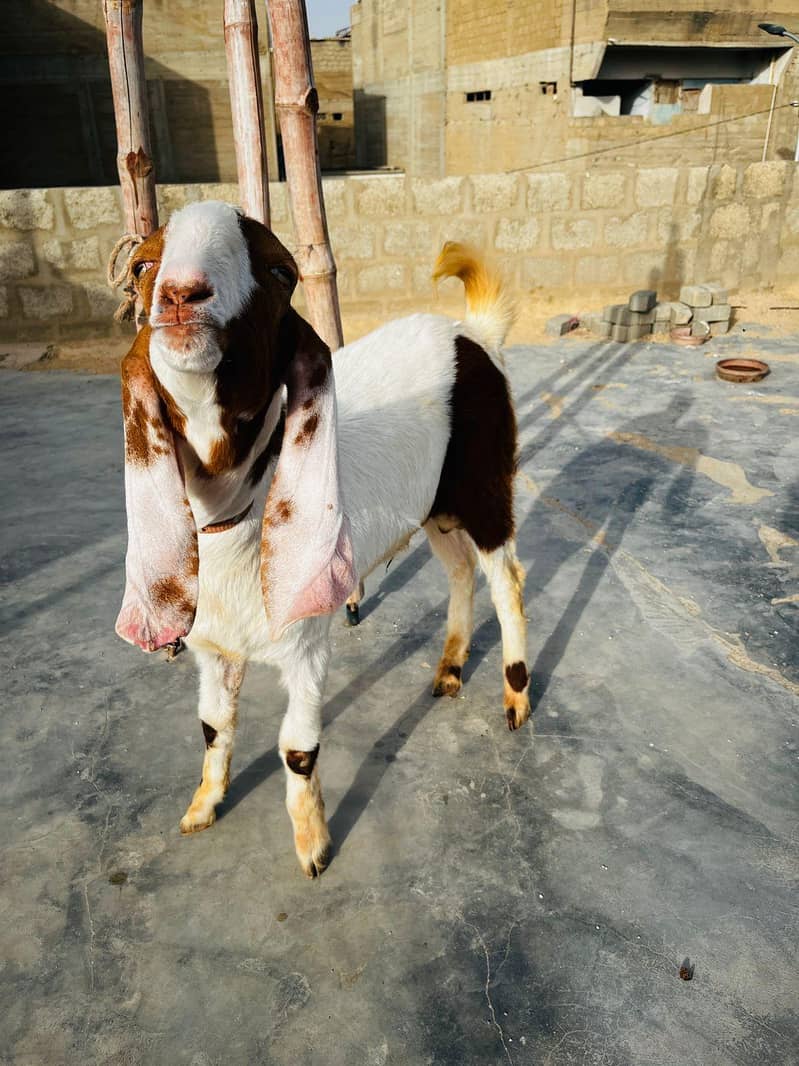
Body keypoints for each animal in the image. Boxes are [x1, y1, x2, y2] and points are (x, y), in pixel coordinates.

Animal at [115, 201, 530, 877]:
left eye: (281, 271)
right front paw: (202, 808)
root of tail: (474, 333)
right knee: (459, 570)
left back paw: (516, 700)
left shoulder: (306, 643)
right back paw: (448, 670)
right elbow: (212, 725)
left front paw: (314, 848)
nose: (181, 296)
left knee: (506, 578)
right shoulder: (213, 646)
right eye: (141, 266)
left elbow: (297, 747)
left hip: (483, 483)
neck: (234, 517)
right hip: (433, 506)